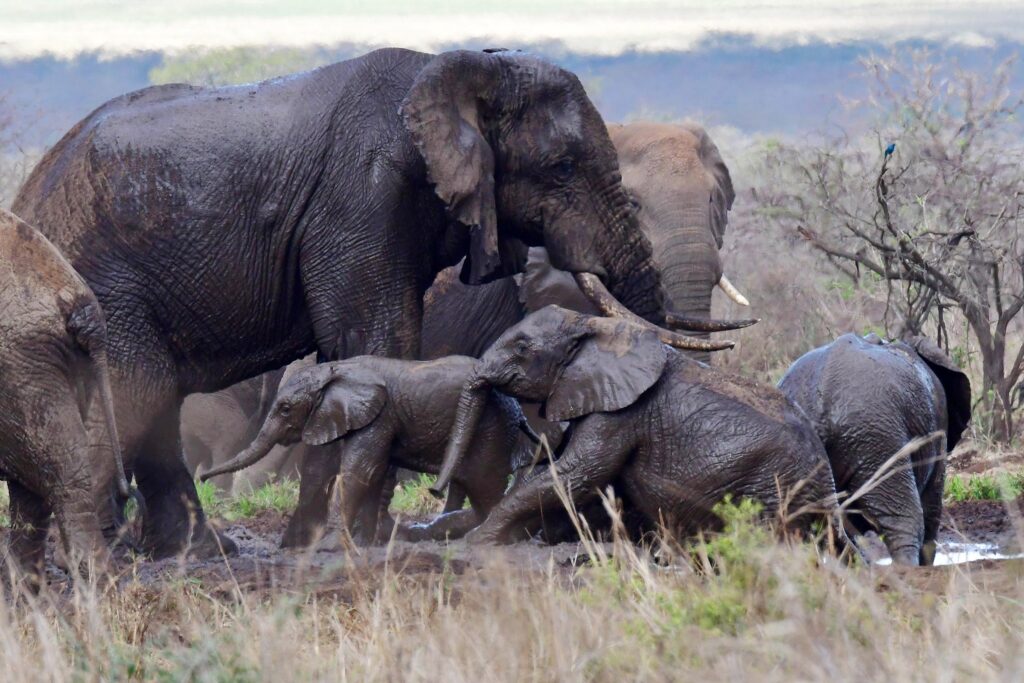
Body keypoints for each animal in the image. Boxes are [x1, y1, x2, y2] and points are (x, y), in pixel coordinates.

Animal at [0, 209, 132, 581]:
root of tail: (82, 305)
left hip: (26, 361)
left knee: (59, 470)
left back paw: (98, 583)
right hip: (60, 366)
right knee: (35, 486)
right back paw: (25, 590)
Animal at [197, 358, 536, 544]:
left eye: (285, 409)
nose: (201, 479)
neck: (334, 370)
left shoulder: (380, 416)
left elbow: (361, 469)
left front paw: (332, 544)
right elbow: (375, 470)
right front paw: (364, 542)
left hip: (490, 427)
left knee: (485, 485)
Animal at [430, 307, 839, 548]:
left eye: (521, 349)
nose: (434, 491)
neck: (596, 326)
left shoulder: (620, 414)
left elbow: (577, 474)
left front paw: (479, 540)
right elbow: (561, 471)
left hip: (772, 490)